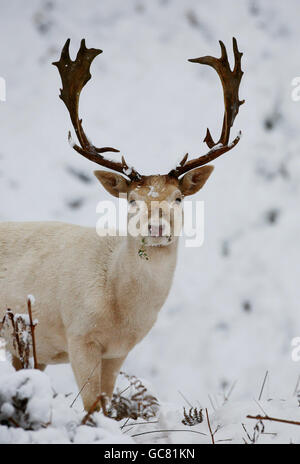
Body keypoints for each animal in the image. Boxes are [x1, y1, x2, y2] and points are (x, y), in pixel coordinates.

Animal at [0, 38, 244, 412]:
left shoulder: (118, 352)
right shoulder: (79, 336)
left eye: (178, 198)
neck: (121, 312)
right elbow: (91, 406)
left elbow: (108, 403)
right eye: (131, 200)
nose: (156, 227)